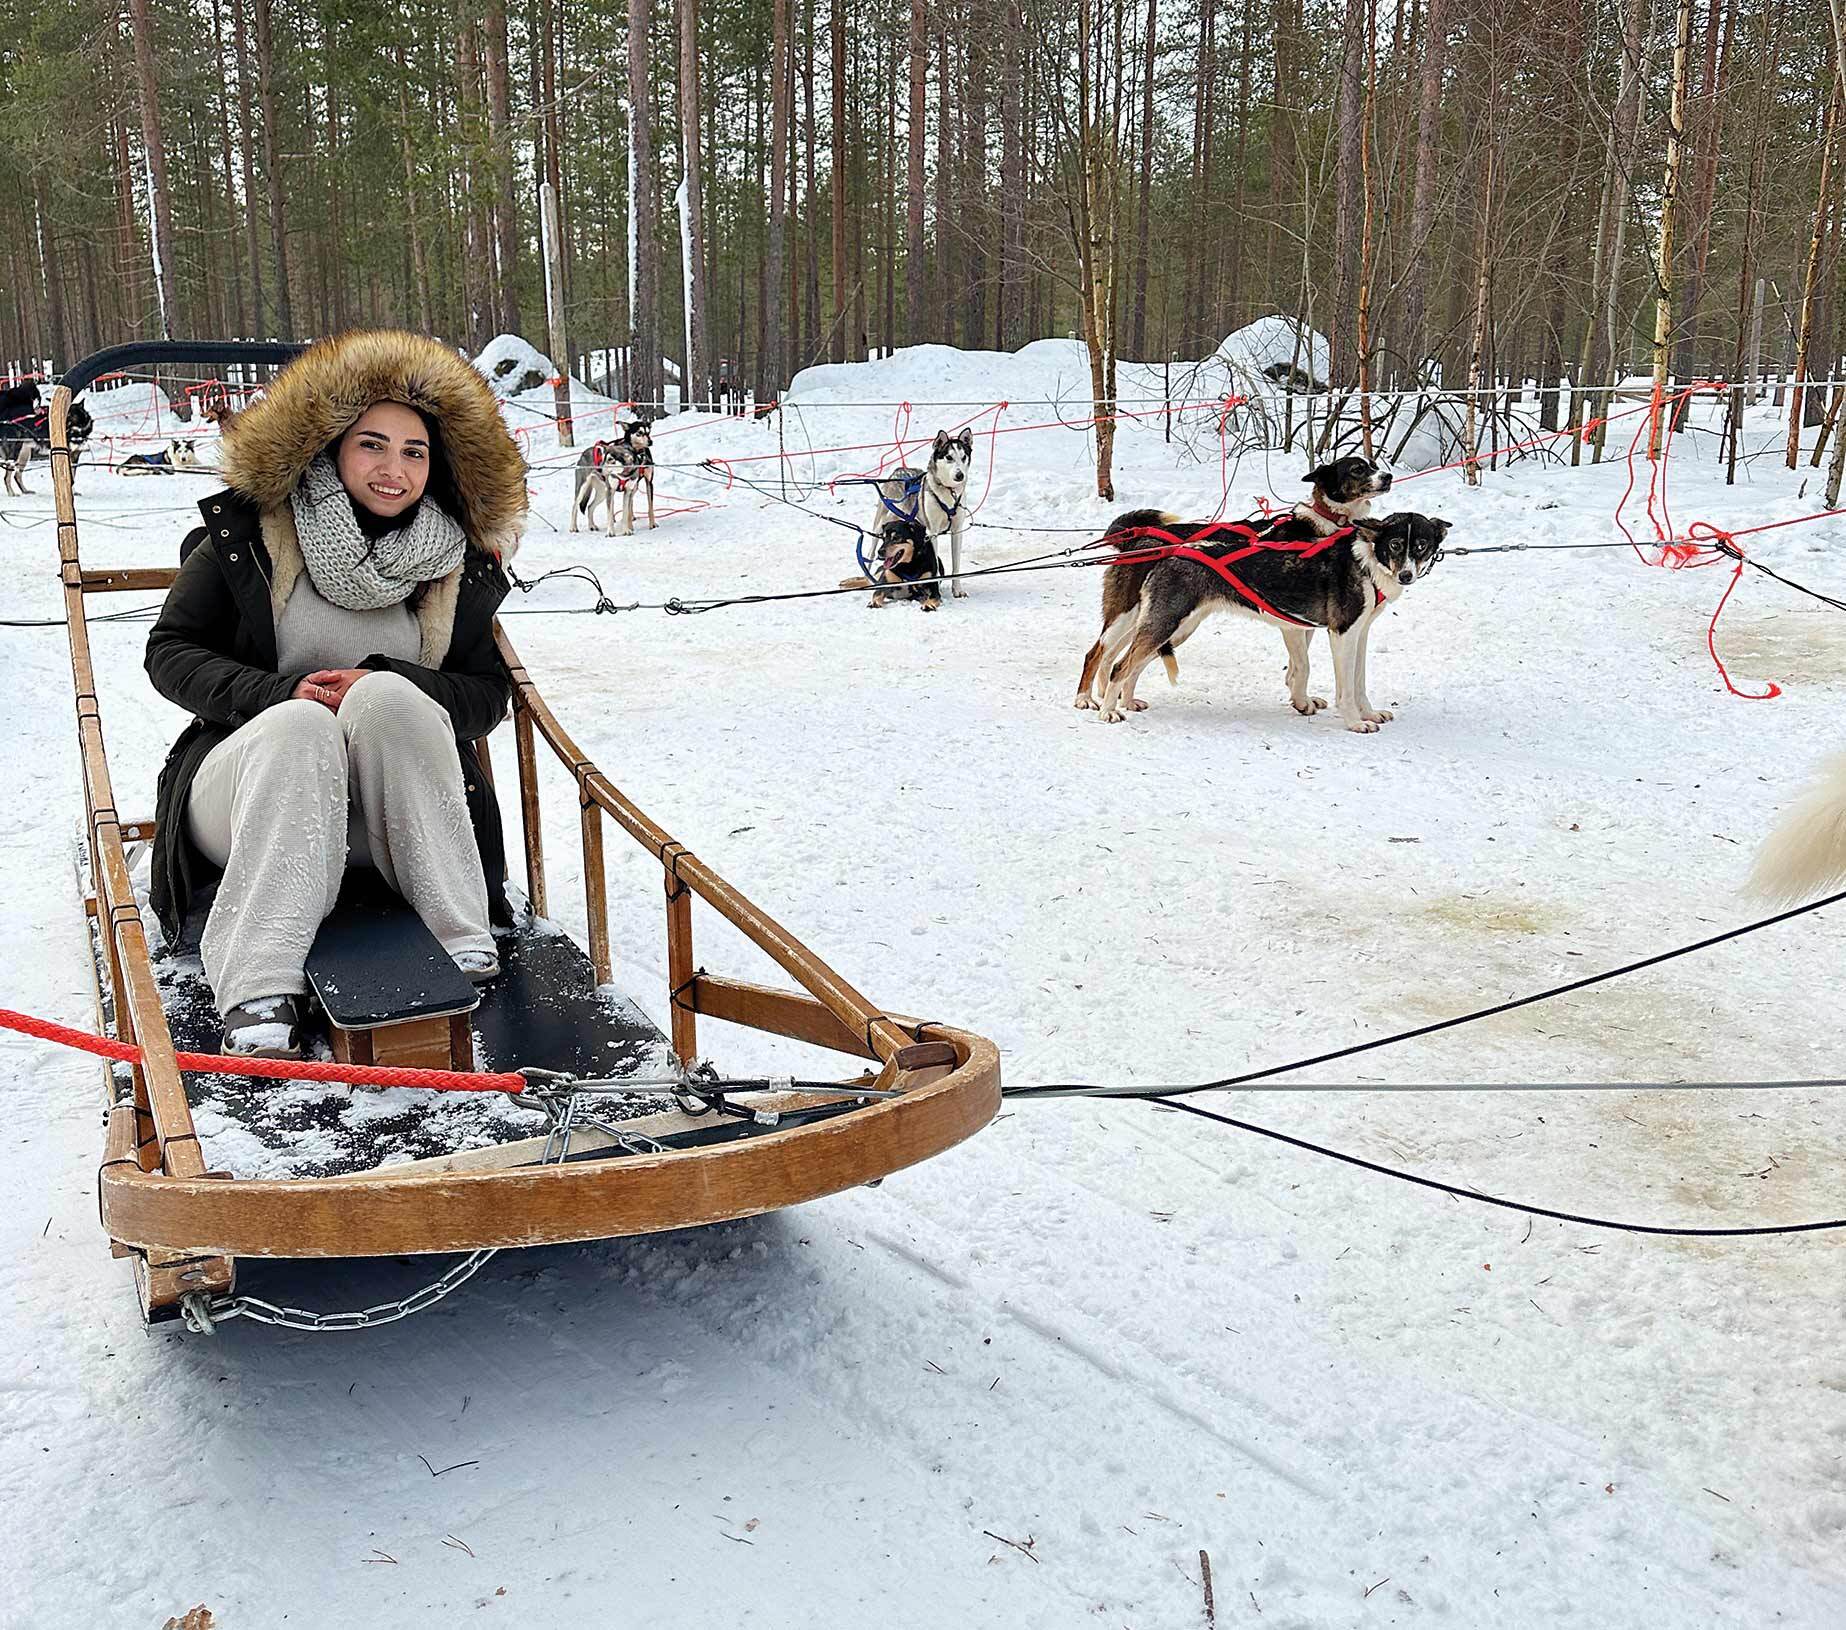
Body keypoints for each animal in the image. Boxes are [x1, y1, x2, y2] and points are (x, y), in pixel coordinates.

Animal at [867, 433, 982, 598]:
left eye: (963, 457)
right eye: (949, 457)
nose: (960, 475)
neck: (948, 492)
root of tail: (899, 470)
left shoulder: (957, 531)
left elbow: (956, 564)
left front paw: (957, 589)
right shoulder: (932, 532)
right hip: (880, 524)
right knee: (870, 552)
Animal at [1078, 459, 1447, 738]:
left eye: (1421, 546)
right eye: (1395, 544)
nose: (1406, 576)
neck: (1365, 559)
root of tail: (1169, 549)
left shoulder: (1358, 633)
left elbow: (1358, 682)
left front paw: (1366, 713)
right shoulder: (1336, 633)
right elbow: (1328, 681)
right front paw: (1352, 721)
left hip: (1170, 628)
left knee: (1128, 662)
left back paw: (1125, 702)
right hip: (1154, 622)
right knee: (1112, 661)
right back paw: (1103, 709)